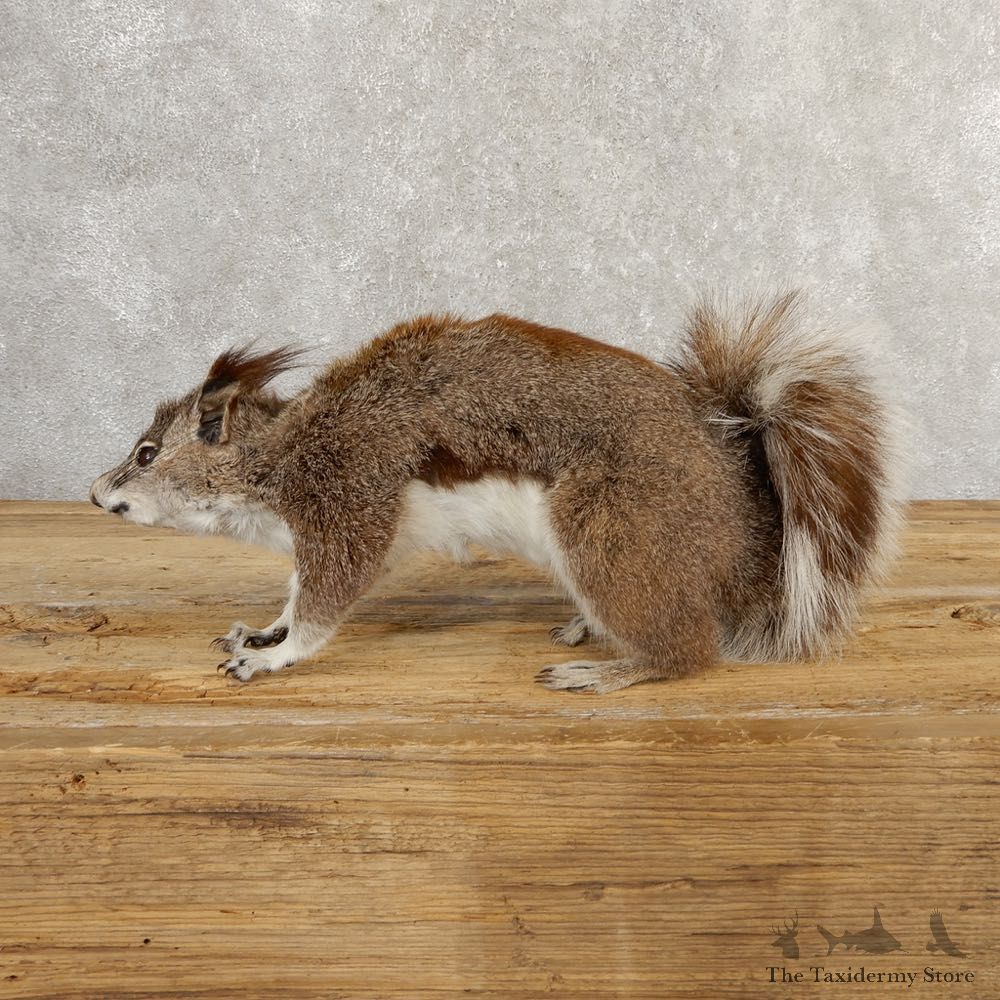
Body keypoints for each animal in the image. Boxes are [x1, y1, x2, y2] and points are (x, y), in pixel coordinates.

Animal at [90, 292, 905, 693]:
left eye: (147, 453)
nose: (97, 493)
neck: (282, 456)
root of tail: (740, 509)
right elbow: (294, 596)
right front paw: (263, 631)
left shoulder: (351, 498)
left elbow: (326, 602)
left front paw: (276, 657)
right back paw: (586, 629)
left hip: (609, 527)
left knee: (687, 652)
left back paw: (608, 669)